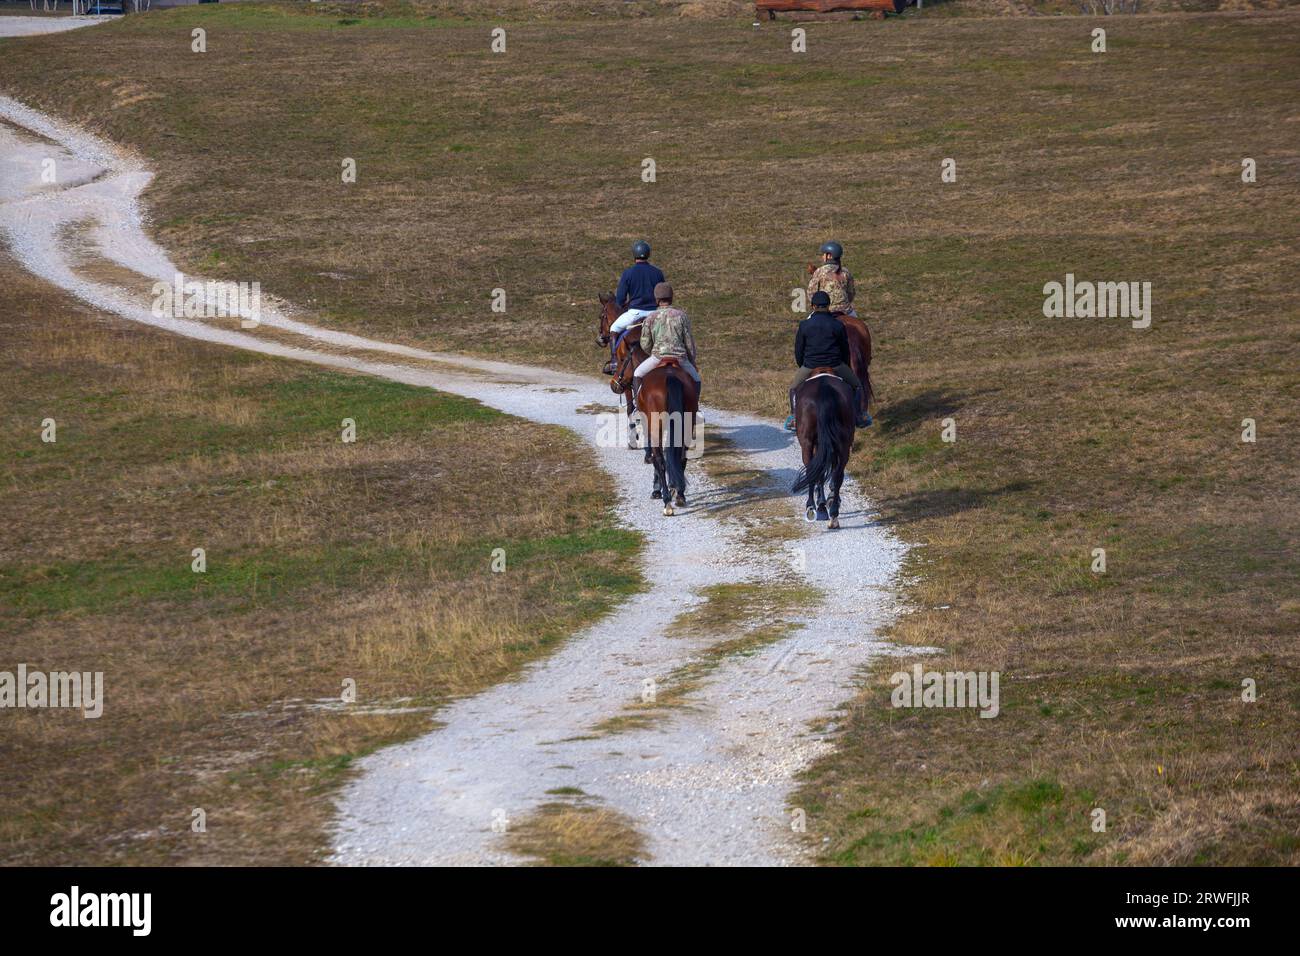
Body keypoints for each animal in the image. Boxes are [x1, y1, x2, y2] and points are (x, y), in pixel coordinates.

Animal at [785, 369, 857, 530]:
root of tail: (825, 388)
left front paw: (821, 503)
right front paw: (826, 502)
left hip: (807, 442)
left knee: (812, 470)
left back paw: (813, 507)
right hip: (843, 443)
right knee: (837, 475)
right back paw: (833, 514)